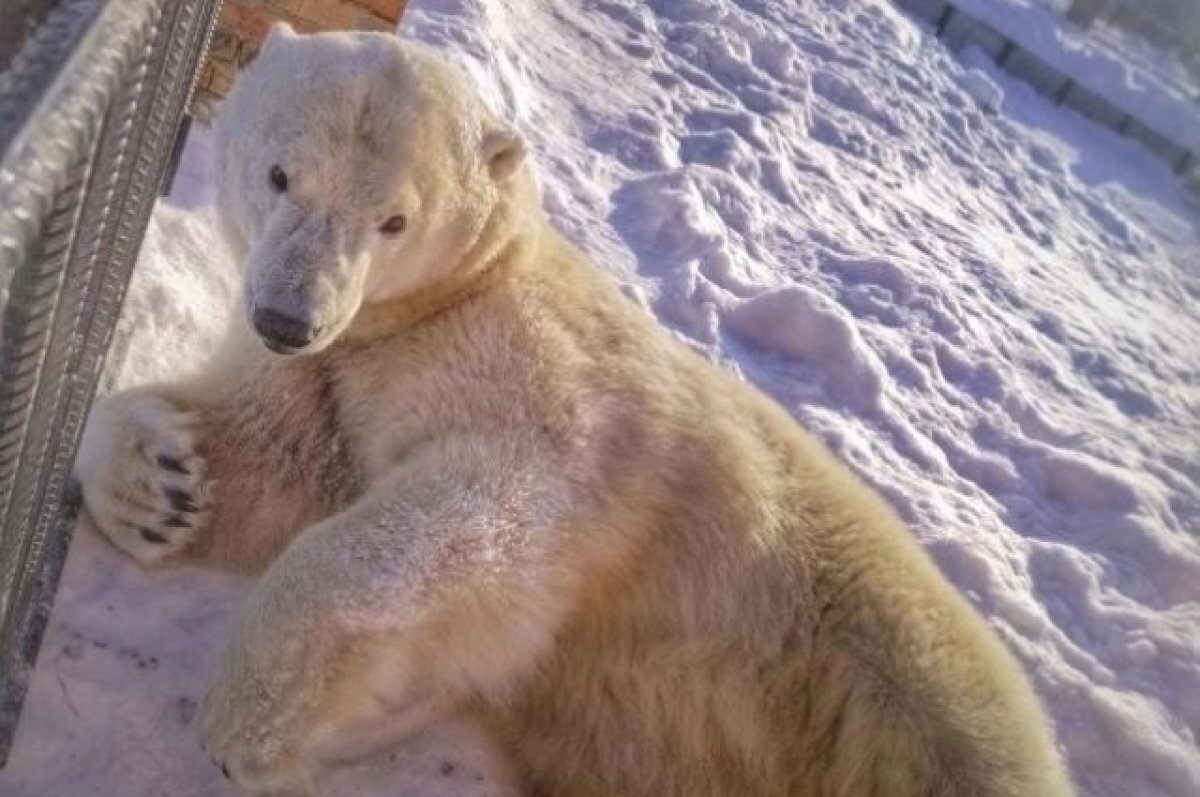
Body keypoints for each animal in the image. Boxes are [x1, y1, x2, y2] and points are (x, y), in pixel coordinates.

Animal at [72, 24, 1070, 797]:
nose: (287, 316)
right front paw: (160, 486)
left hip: (888, 670)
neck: (449, 297)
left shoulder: (540, 377)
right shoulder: (338, 370)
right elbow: (275, 457)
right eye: (282, 174)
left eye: (394, 220)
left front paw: (249, 719)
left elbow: (490, 511)